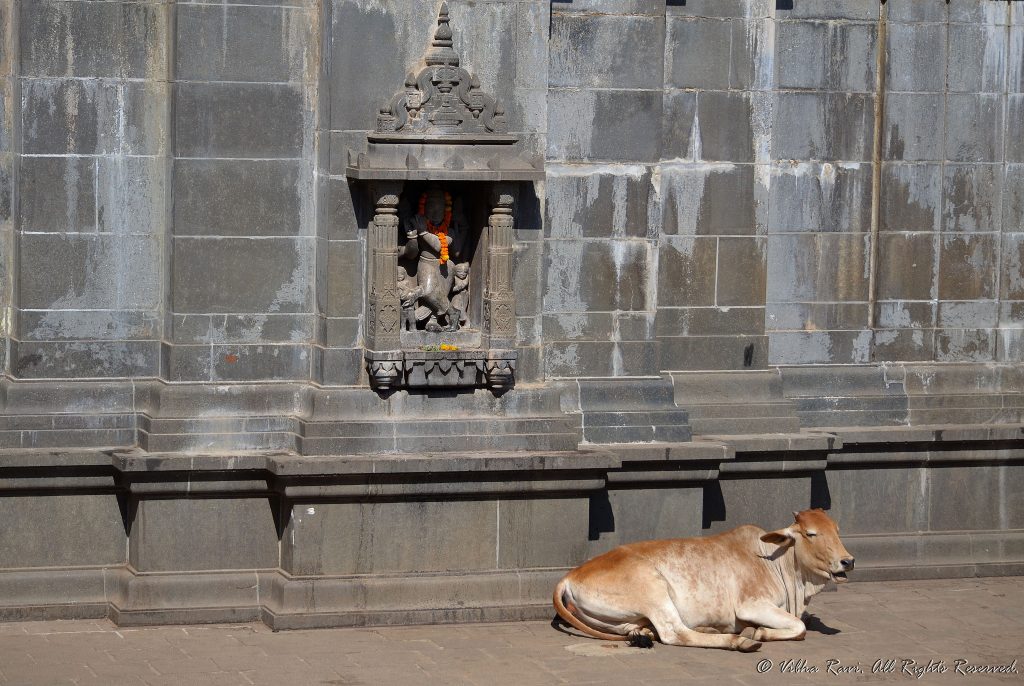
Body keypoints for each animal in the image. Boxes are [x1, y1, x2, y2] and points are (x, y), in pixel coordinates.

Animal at [557, 507, 851, 651]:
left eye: (837, 530)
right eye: (811, 534)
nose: (848, 561)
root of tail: (570, 575)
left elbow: (803, 622)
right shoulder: (752, 605)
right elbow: (798, 627)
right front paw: (759, 631)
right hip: (654, 589)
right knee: (675, 633)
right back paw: (739, 640)